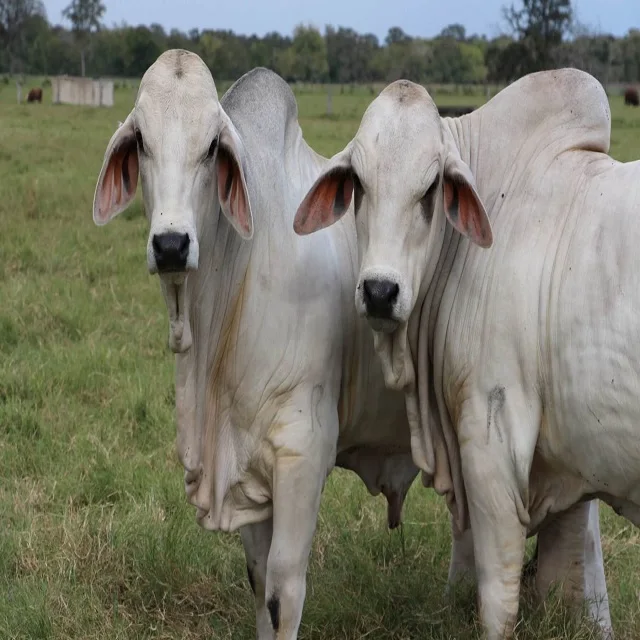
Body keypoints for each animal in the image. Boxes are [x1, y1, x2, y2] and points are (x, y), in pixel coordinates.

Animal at [293, 69, 624, 639]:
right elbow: (566, 571)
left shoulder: (494, 437)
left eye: (430, 189)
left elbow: (498, 596)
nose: (379, 292)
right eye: (358, 183)